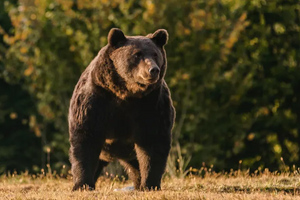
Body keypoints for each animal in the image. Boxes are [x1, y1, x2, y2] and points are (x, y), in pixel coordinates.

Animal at [68, 27, 176, 191]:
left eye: (155, 54)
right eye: (137, 54)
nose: (153, 70)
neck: (126, 92)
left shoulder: (151, 105)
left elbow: (153, 142)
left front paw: (149, 184)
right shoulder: (96, 100)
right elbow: (85, 138)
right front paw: (82, 184)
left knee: (136, 166)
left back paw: (138, 184)